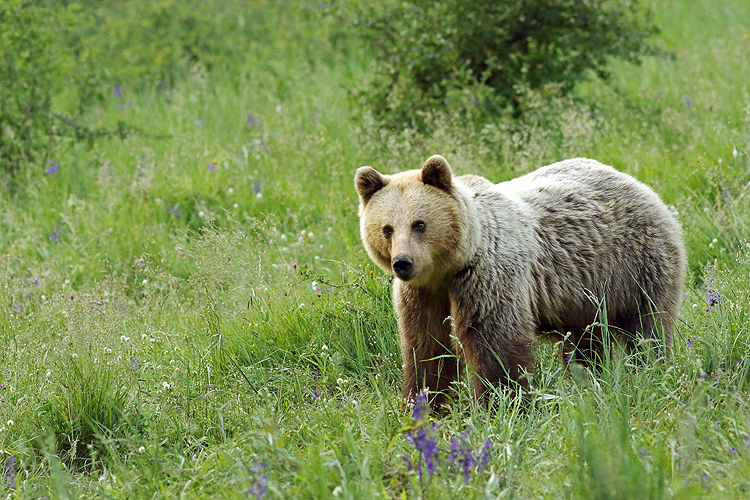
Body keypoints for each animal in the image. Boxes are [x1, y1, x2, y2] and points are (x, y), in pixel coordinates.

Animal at [356, 155, 688, 402]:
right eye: (387, 228)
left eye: (419, 224)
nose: (403, 263)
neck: (449, 268)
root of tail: (636, 183)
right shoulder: (422, 294)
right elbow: (427, 348)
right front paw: (424, 405)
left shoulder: (487, 275)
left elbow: (495, 345)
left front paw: (502, 403)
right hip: (583, 294)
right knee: (586, 342)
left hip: (633, 264)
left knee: (647, 326)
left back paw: (650, 371)